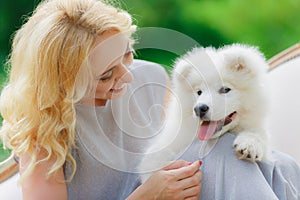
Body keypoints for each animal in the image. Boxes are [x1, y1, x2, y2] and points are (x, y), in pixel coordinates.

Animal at [139, 43, 270, 180]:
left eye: (225, 89)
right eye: (199, 92)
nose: (199, 108)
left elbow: (259, 133)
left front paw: (250, 144)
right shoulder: (172, 138)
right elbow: (154, 157)